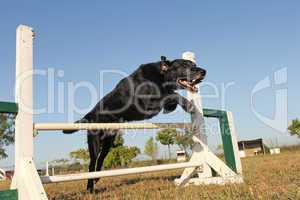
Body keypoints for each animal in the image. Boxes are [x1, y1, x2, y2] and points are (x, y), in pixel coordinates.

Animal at [62, 56, 205, 192]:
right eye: (185, 65)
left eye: (194, 64)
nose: (204, 71)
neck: (161, 75)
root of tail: (90, 114)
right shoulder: (147, 104)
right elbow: (171, 94)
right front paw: (188, 105)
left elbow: (170, 96)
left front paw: (172, 107)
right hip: (95, 142)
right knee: (92, 163)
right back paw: (90, 188)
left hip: (108, 141)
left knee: (101, 159)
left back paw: (97, 178)